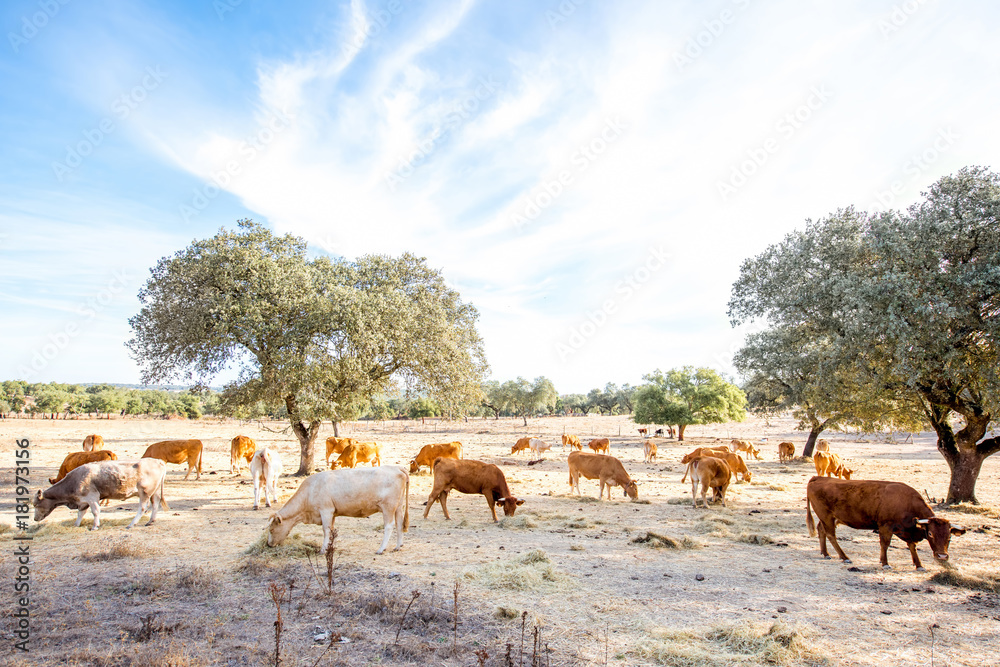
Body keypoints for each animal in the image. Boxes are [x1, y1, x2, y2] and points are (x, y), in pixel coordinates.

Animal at [34, 456, 168, 528]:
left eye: (35, 504)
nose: (35, 518)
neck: (74, 480)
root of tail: (158, 461)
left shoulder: (92, 497)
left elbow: (95, 511)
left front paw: (95, 526)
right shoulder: (83, 501)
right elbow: (81, 513)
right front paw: (76, 524)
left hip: (144, 492)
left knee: (143, 508)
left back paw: (131, 524)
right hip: (154, 492)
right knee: (155, 503)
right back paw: (150, 521)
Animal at [266, 464, 410, 552]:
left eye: (272, 530)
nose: (268, 544)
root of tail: (397, 468)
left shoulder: (326, 510)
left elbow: (326, 530)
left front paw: (323, 550)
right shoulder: (333, 513)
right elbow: (331, 530)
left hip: (388, 507)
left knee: (389, 526)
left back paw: (381, 549)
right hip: (398, 506)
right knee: (399, 524)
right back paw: (398, 546)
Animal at [808, 478, 964, 572]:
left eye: (949, 537)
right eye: (930, 533)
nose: (942, 556)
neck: (907, 503)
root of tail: (818, 478)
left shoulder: (907, 531)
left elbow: (912, 546)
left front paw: (919, 565)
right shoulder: (885, 527)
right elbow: (885, 544)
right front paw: (885, 563)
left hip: (830, 518)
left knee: (821, 530)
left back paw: (825, 553)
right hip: (826, 516)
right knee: (831, 535)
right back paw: (844, 557)